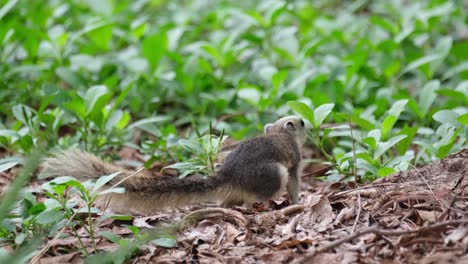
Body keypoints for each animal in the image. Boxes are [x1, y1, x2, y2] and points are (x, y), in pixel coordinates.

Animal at [41, 116, 308, 214]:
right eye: (301, 122)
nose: (306, 121)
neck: (279, 132)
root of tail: (229, 176)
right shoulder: (294, 162)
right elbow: (295, 183)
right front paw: (298, 202)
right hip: (274, 174)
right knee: (253, 199)